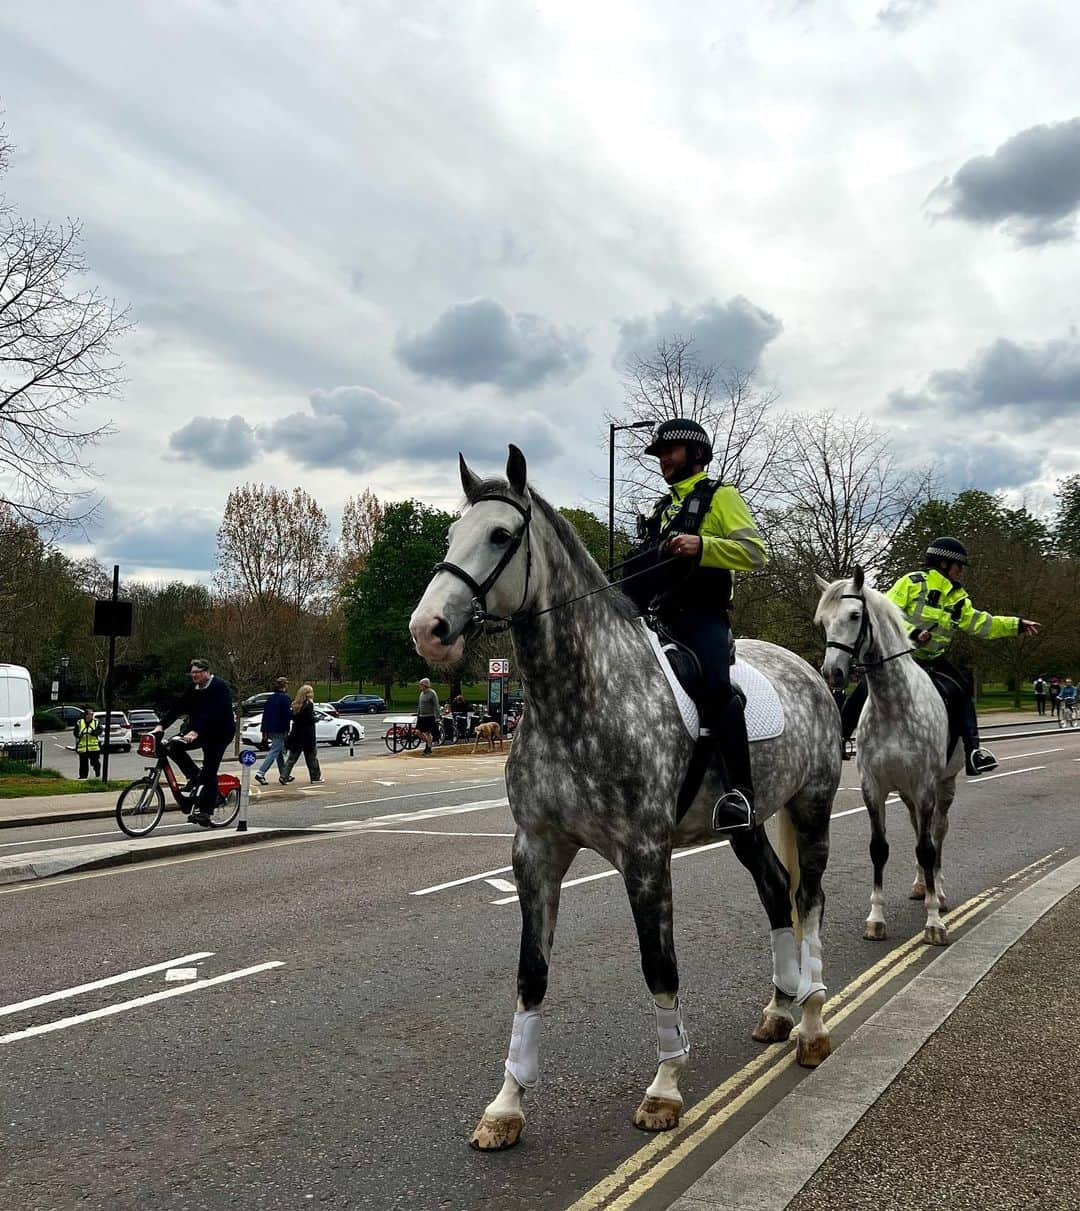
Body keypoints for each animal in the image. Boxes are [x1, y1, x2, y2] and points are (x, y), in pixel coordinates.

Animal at [409, 450, 837, 1148]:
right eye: (450, 535)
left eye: (500, 535)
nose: (429, 629)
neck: (580, 698)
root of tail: (806, 669)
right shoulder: (537, 853)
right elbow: (531, 974)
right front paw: (507, 1104)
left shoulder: (644, 855)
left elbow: (659, 965)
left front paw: (665, 1088)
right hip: (745, 823)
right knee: (777, 893)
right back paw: (780, 1008)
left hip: (813, 804)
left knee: (809, 900)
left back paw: (813, 1020)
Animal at [813, 571, 958, 949]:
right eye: (823, 621)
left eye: (854, 616)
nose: (832, 673)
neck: (894, 706)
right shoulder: (873, 786)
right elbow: (879, 848)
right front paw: (876, 918)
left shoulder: (925, 786)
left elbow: (927, 848)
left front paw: (934, 921)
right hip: (906, 792)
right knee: (919, 829)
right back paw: (922, 884)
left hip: (943, 786)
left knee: (937, 833)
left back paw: (938, 890)